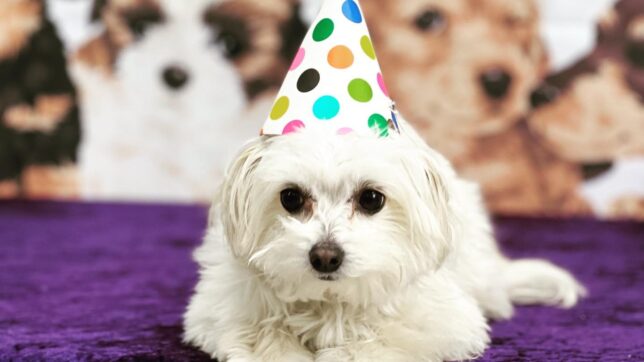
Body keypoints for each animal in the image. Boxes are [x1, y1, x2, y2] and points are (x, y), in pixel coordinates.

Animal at [184, 119, 588, 362]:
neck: (330, 301)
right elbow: (265, 337)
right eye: (291, 197)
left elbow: (380, 340)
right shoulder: (225, 311)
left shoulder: (443, 324)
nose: (325, 256)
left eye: (371, 199)